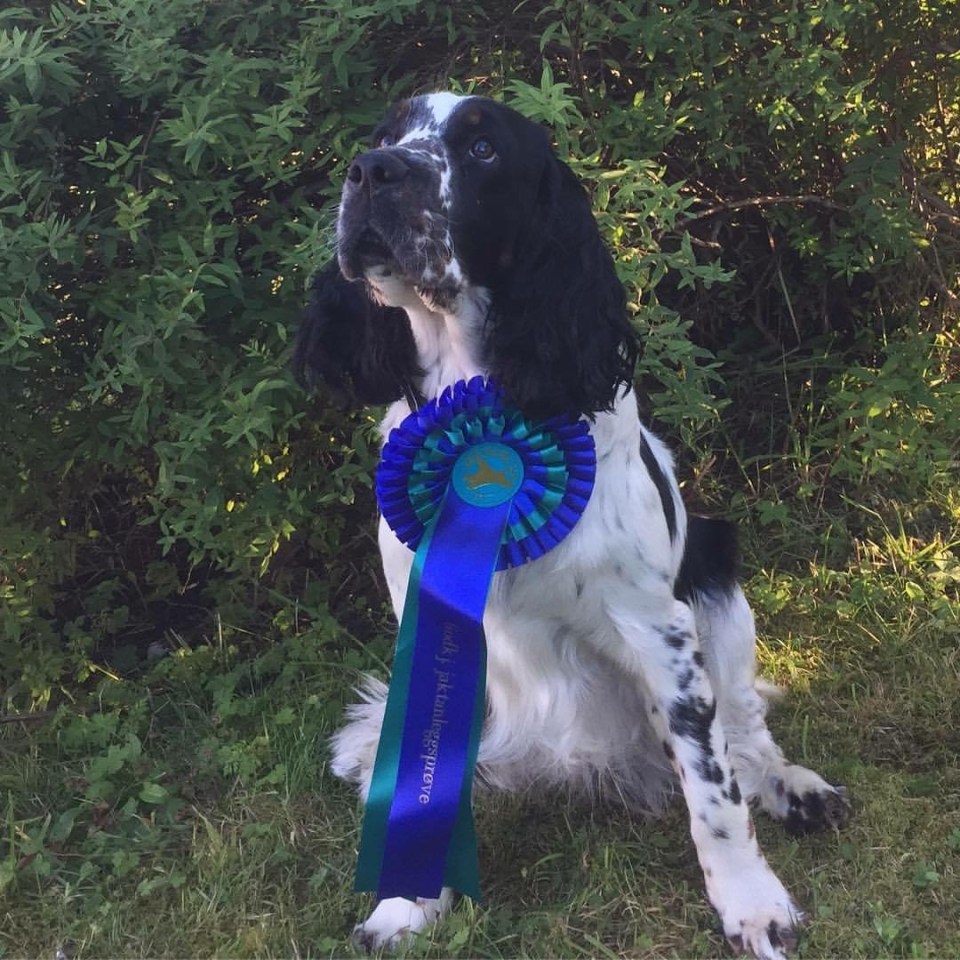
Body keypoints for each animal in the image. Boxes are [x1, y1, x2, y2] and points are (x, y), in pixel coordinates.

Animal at [293, 92, 849, 959]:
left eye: (483, 148)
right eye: (388, 134)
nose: (372, 171)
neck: (480, 397)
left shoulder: (661, 629)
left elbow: (715, 792)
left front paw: (753, 904)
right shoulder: (432, 617)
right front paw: (409, 900)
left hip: (719, 580)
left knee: (745, 731)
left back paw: (795, 788)